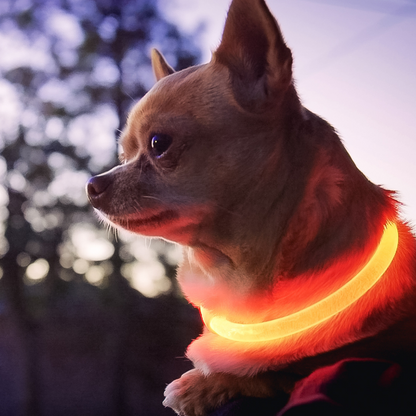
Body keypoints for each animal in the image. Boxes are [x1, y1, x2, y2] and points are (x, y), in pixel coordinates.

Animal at [87, 0, 416, 416]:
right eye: (123, 155)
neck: (230, 271)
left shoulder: (374, 351)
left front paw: (199, 384)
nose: (92, 185)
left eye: (159, 144)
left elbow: (276, 371)